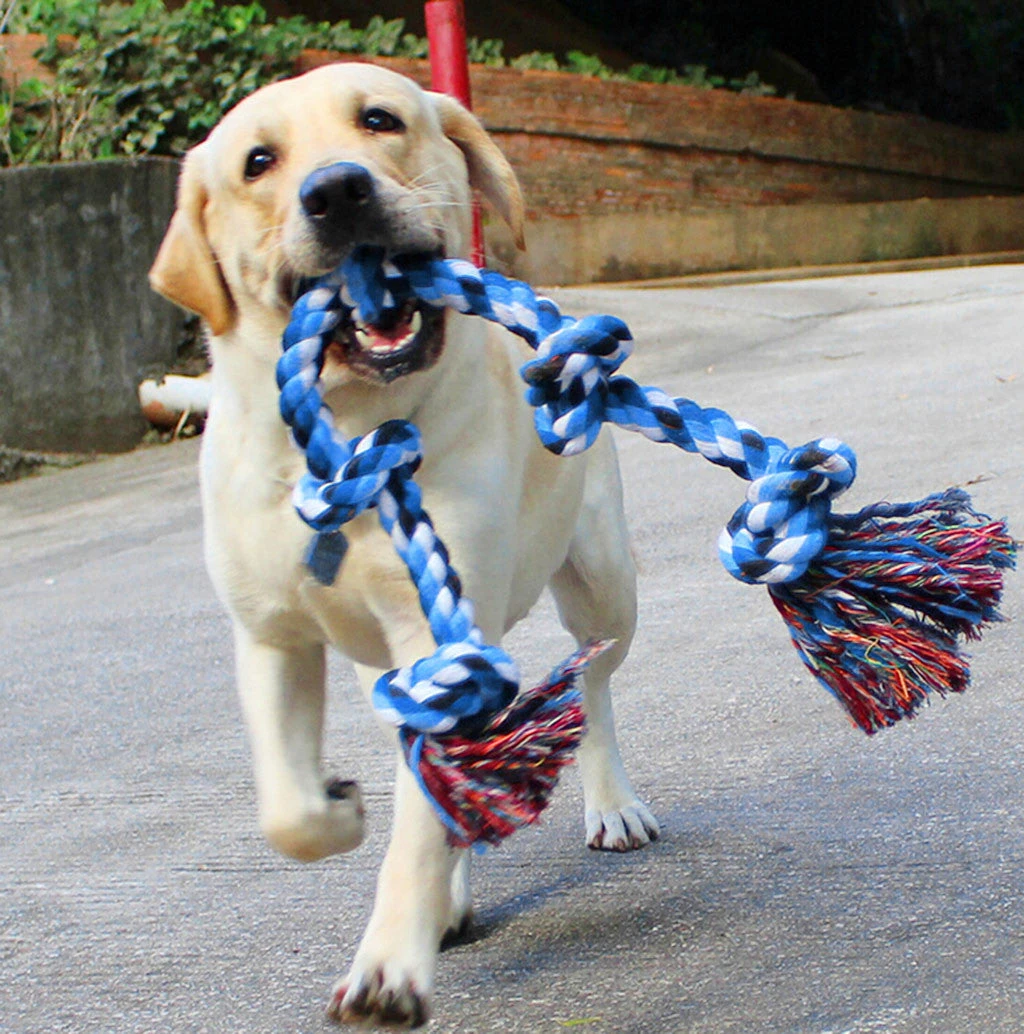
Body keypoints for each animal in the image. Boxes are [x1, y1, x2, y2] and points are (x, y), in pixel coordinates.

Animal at [149, 61, 659, 1028]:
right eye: (258, 161)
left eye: (381, 120)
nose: (337, 191)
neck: (346, 435)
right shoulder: (272, 636)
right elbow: (289, 811)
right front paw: (339, 811)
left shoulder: (440, 638)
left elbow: (419, 833)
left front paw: (388, 965)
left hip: (604, 582)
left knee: (597, 682)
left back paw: (611, 806)